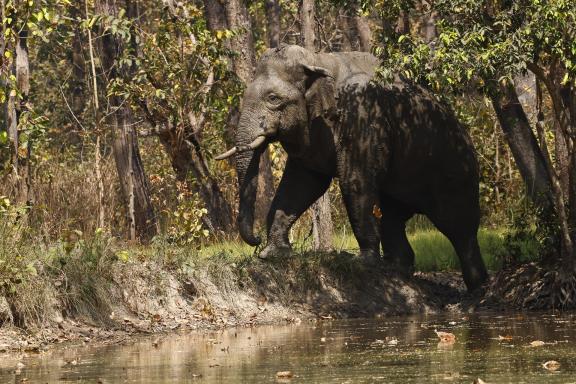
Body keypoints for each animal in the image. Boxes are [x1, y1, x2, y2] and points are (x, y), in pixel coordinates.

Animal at [216, 44, 486, 292]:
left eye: (273, 99)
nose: (255, 239)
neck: (318, 59)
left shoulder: (363, 117)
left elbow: (354, 180)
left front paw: (363, 263)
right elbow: (302, 184)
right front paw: (273, 254)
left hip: (455, 171)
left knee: (458, 225)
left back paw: (478, 289)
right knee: (394, 217)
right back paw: (397, 268)